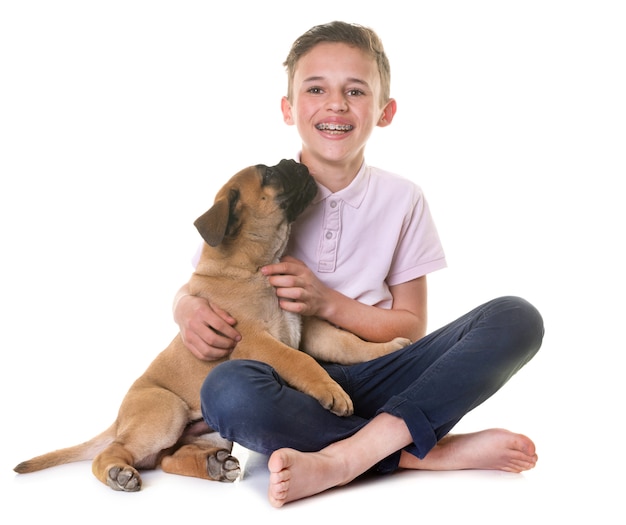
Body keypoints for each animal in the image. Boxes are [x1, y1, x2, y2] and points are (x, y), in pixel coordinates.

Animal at [13, 160, 410, 492]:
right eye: (269, 174)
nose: (299, 164)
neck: (254, 267)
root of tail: (119, 418)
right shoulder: (257, 342)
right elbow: (301, 361)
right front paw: (331, 390)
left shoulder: (309, 330)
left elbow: (345, 342)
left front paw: (388, 347)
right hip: (166, 412)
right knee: (113, 453)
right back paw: (118, 474)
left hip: (209, 433)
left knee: (167, 459)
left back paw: (213, 466)